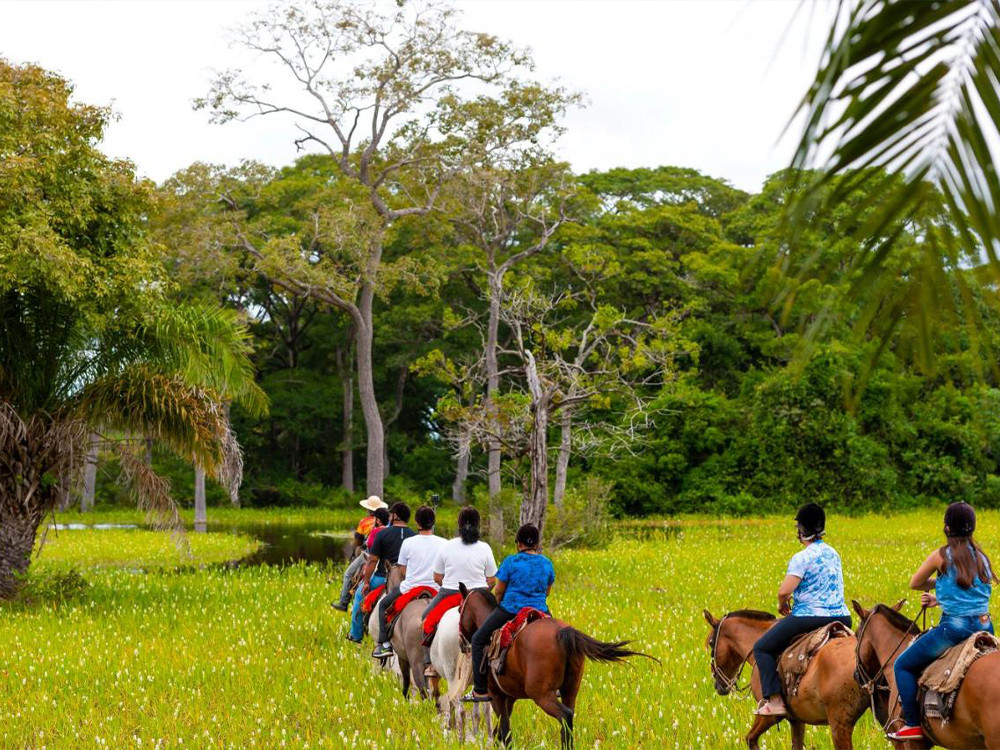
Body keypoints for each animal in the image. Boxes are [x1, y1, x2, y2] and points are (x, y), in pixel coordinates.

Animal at [458, 588, 652, 750]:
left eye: (460, 609)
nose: (462, 643)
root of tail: (561, 631)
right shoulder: (509, 697)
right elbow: (501, 730)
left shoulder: (496, 695)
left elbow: (505, 730)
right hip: (570, 689)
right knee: (570, 716)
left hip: (541, 695)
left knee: (565, 715)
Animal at [704, 612, 868, 750]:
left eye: (711, 643)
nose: (718, 686)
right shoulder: (796, 720)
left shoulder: (768, 716)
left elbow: (751, 739)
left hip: (839, 724)